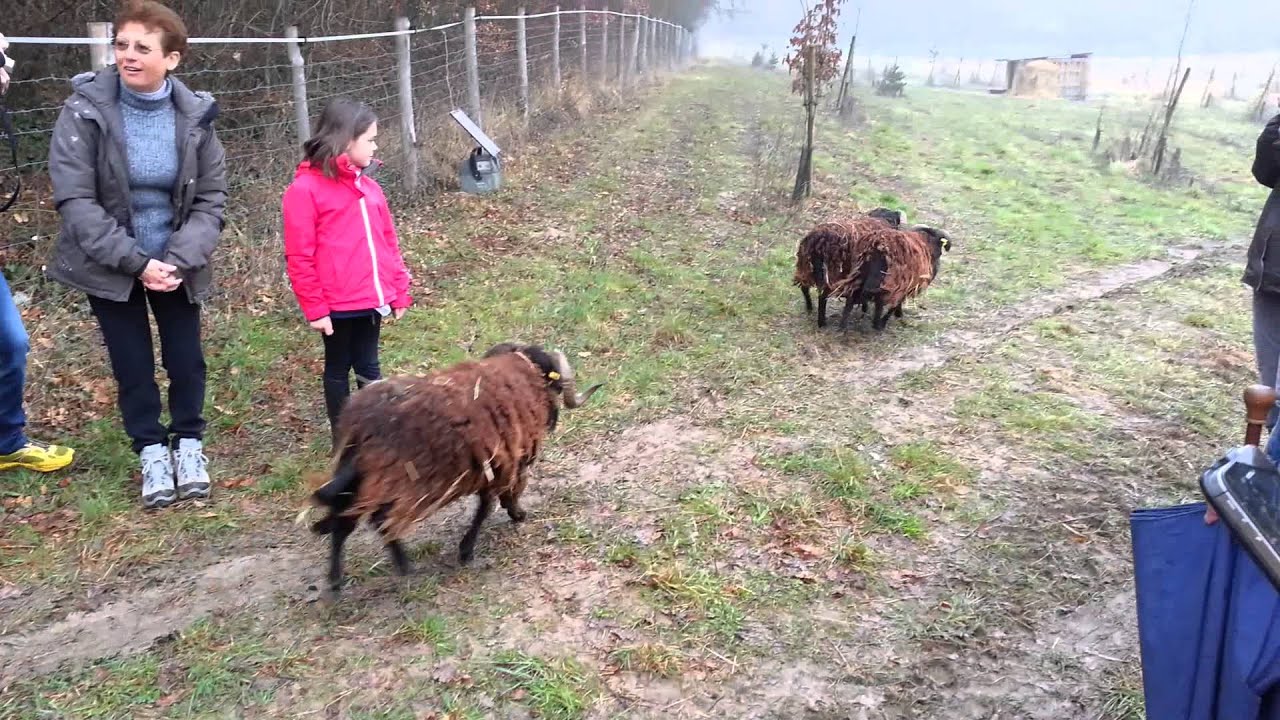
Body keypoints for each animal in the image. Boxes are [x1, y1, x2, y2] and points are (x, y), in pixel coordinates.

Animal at [308, 341, 604, 596]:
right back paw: (403, 567)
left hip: (359, 478)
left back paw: (336, 582)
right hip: (398, 481)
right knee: (379, 520)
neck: (522, 371)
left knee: (344, 520)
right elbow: (492, 503)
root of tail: (362, 426)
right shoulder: (505, 462)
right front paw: (480, 540)